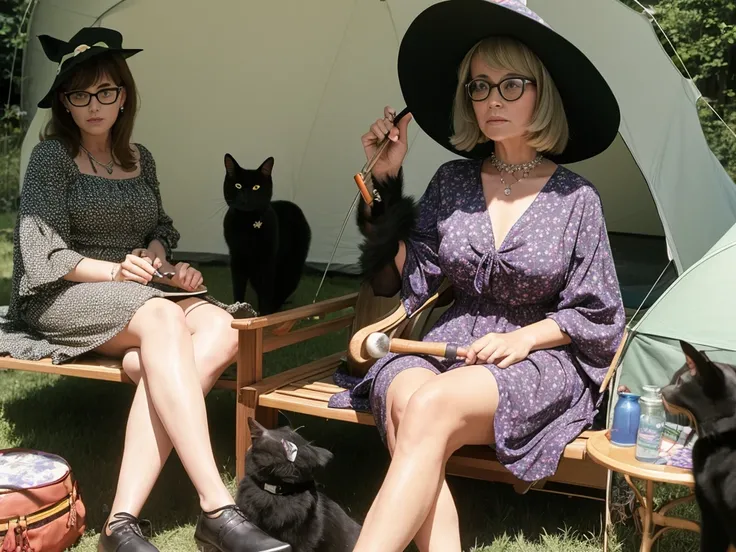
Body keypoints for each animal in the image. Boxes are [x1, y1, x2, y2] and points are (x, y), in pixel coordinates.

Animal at [220, 154, 310, 314]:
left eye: (256, 187)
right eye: (238, 185)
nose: (246, 197)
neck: (247, 224)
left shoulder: (267, 264)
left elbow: (266, 295)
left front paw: (265, 316)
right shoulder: (236, 260)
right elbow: (238, 290)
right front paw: (238, 310)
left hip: (290, 268)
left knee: (281, 290)